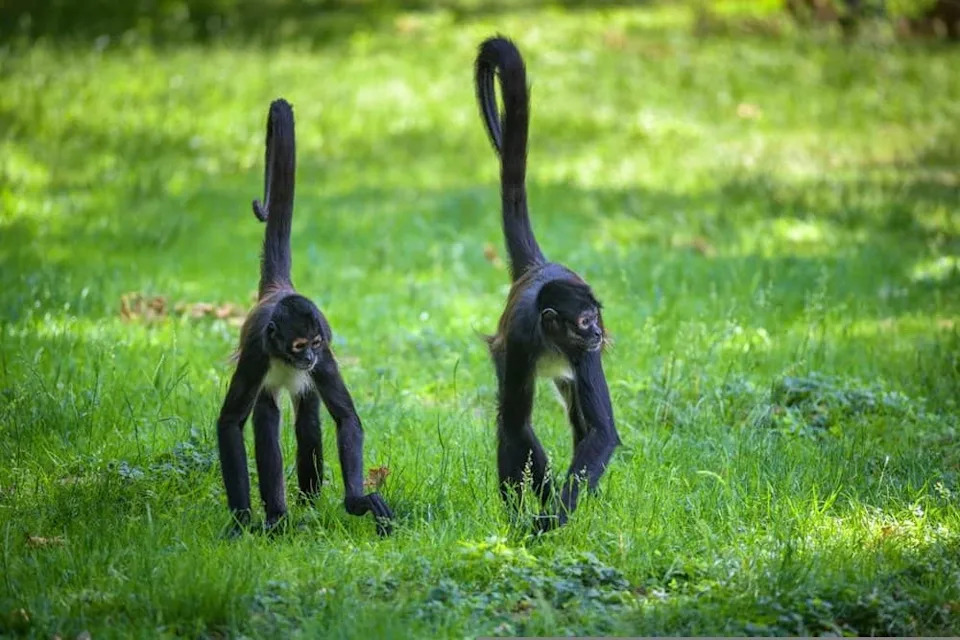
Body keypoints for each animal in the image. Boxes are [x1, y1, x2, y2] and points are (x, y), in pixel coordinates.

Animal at [216, 98, 393, 536]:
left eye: (312, 344)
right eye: (297, 345)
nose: (308, 358)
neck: (284, 355)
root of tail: (279, 289)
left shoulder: (326, 349)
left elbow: (345, 418)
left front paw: (356, 501)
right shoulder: (257, 353)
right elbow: (231, 423)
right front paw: (241, 520)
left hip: (308, 382)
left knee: (308, 419)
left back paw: (307, 503)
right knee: (267, 421)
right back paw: (277, 516)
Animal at [474, 37, 621, 532]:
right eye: (583, 321)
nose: (597, 334)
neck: (553, 338)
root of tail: (539, 269)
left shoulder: (583, 354)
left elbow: (600, 432)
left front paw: (556, 514)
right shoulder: (522, 340)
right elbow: (517, 428)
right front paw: (538, 515)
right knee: (510, 423)